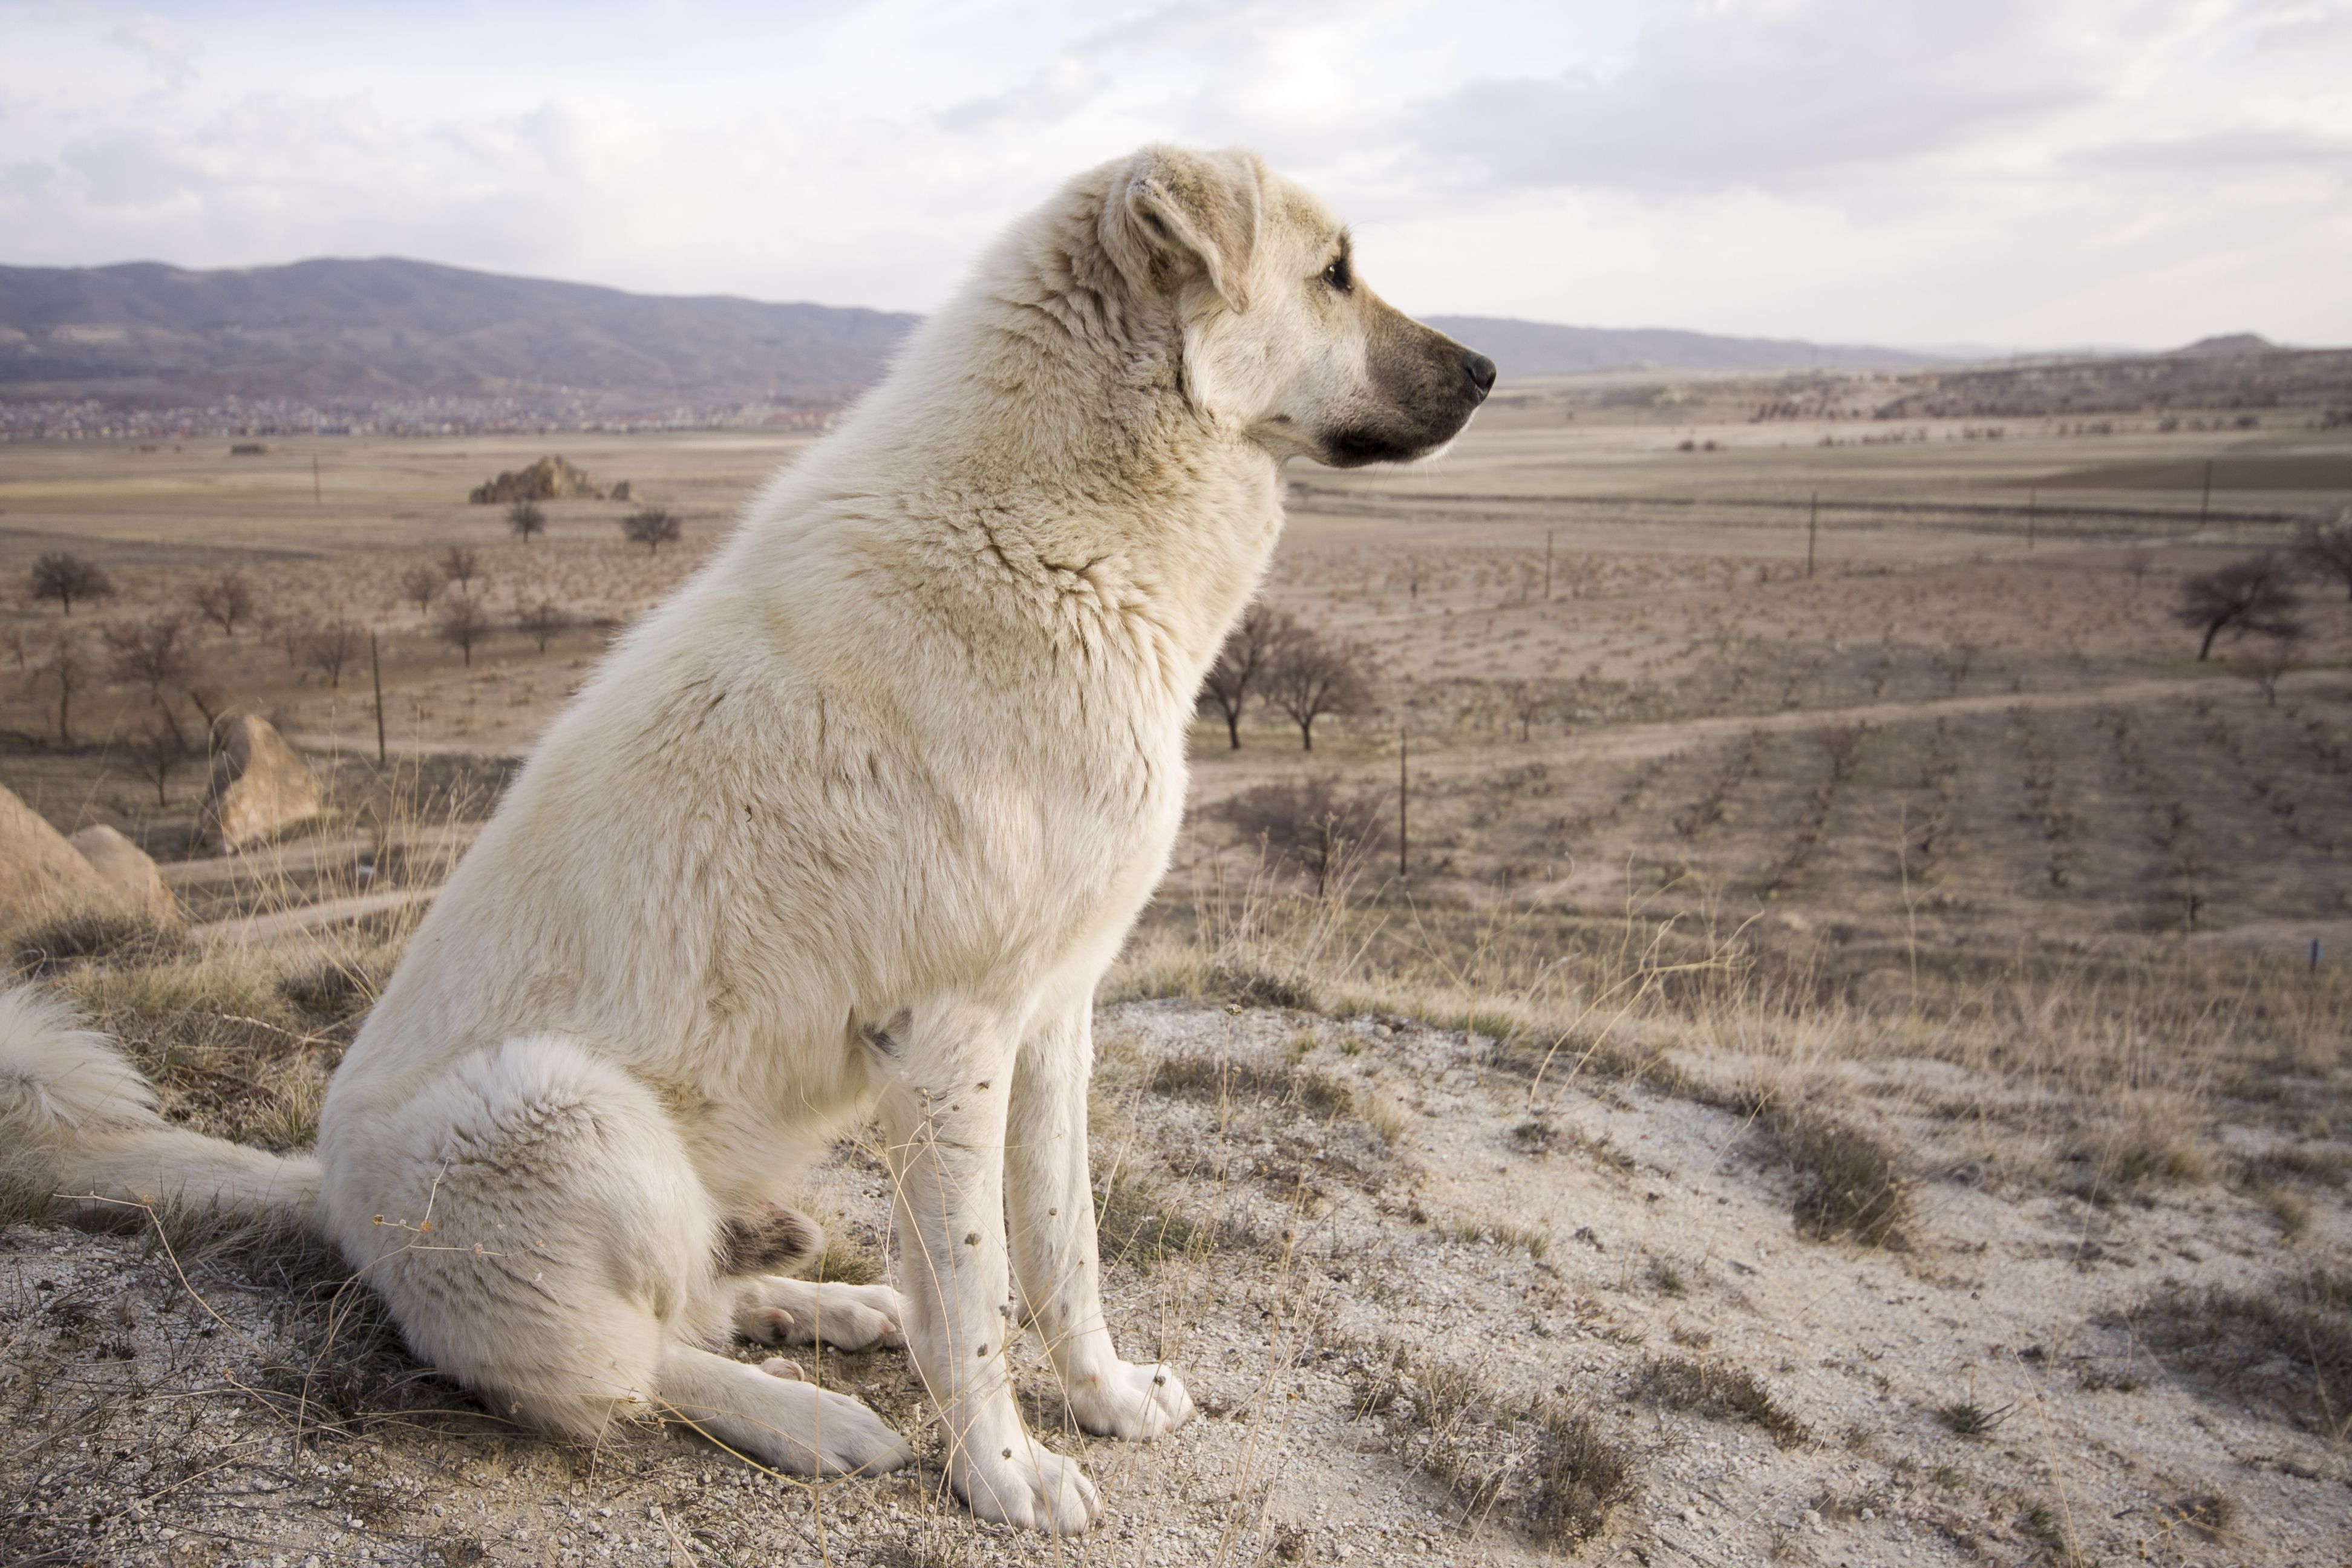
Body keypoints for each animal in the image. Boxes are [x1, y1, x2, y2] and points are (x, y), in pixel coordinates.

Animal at [0, 146, 1495, 1532]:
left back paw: (822, 1311)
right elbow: (976, 1292)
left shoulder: (1054, 1010)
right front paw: (1004, 1473)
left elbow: (1062, 1250)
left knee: (694, 1305)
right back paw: (805, 1416)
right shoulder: (946, 1035)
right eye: (1334, 273)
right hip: (566, 1111)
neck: (1063, 526)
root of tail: (321, 1193)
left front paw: (1108, 1398)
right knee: (622, 1365)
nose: (1489, 371)